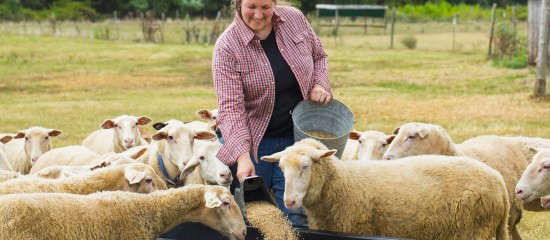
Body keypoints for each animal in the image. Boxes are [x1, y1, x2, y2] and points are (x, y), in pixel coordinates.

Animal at [260, 139, 512, 240]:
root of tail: (499, 184)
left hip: (473, 230)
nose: (289, 202)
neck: (343, 181)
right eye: (281, 168)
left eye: (305, 166)